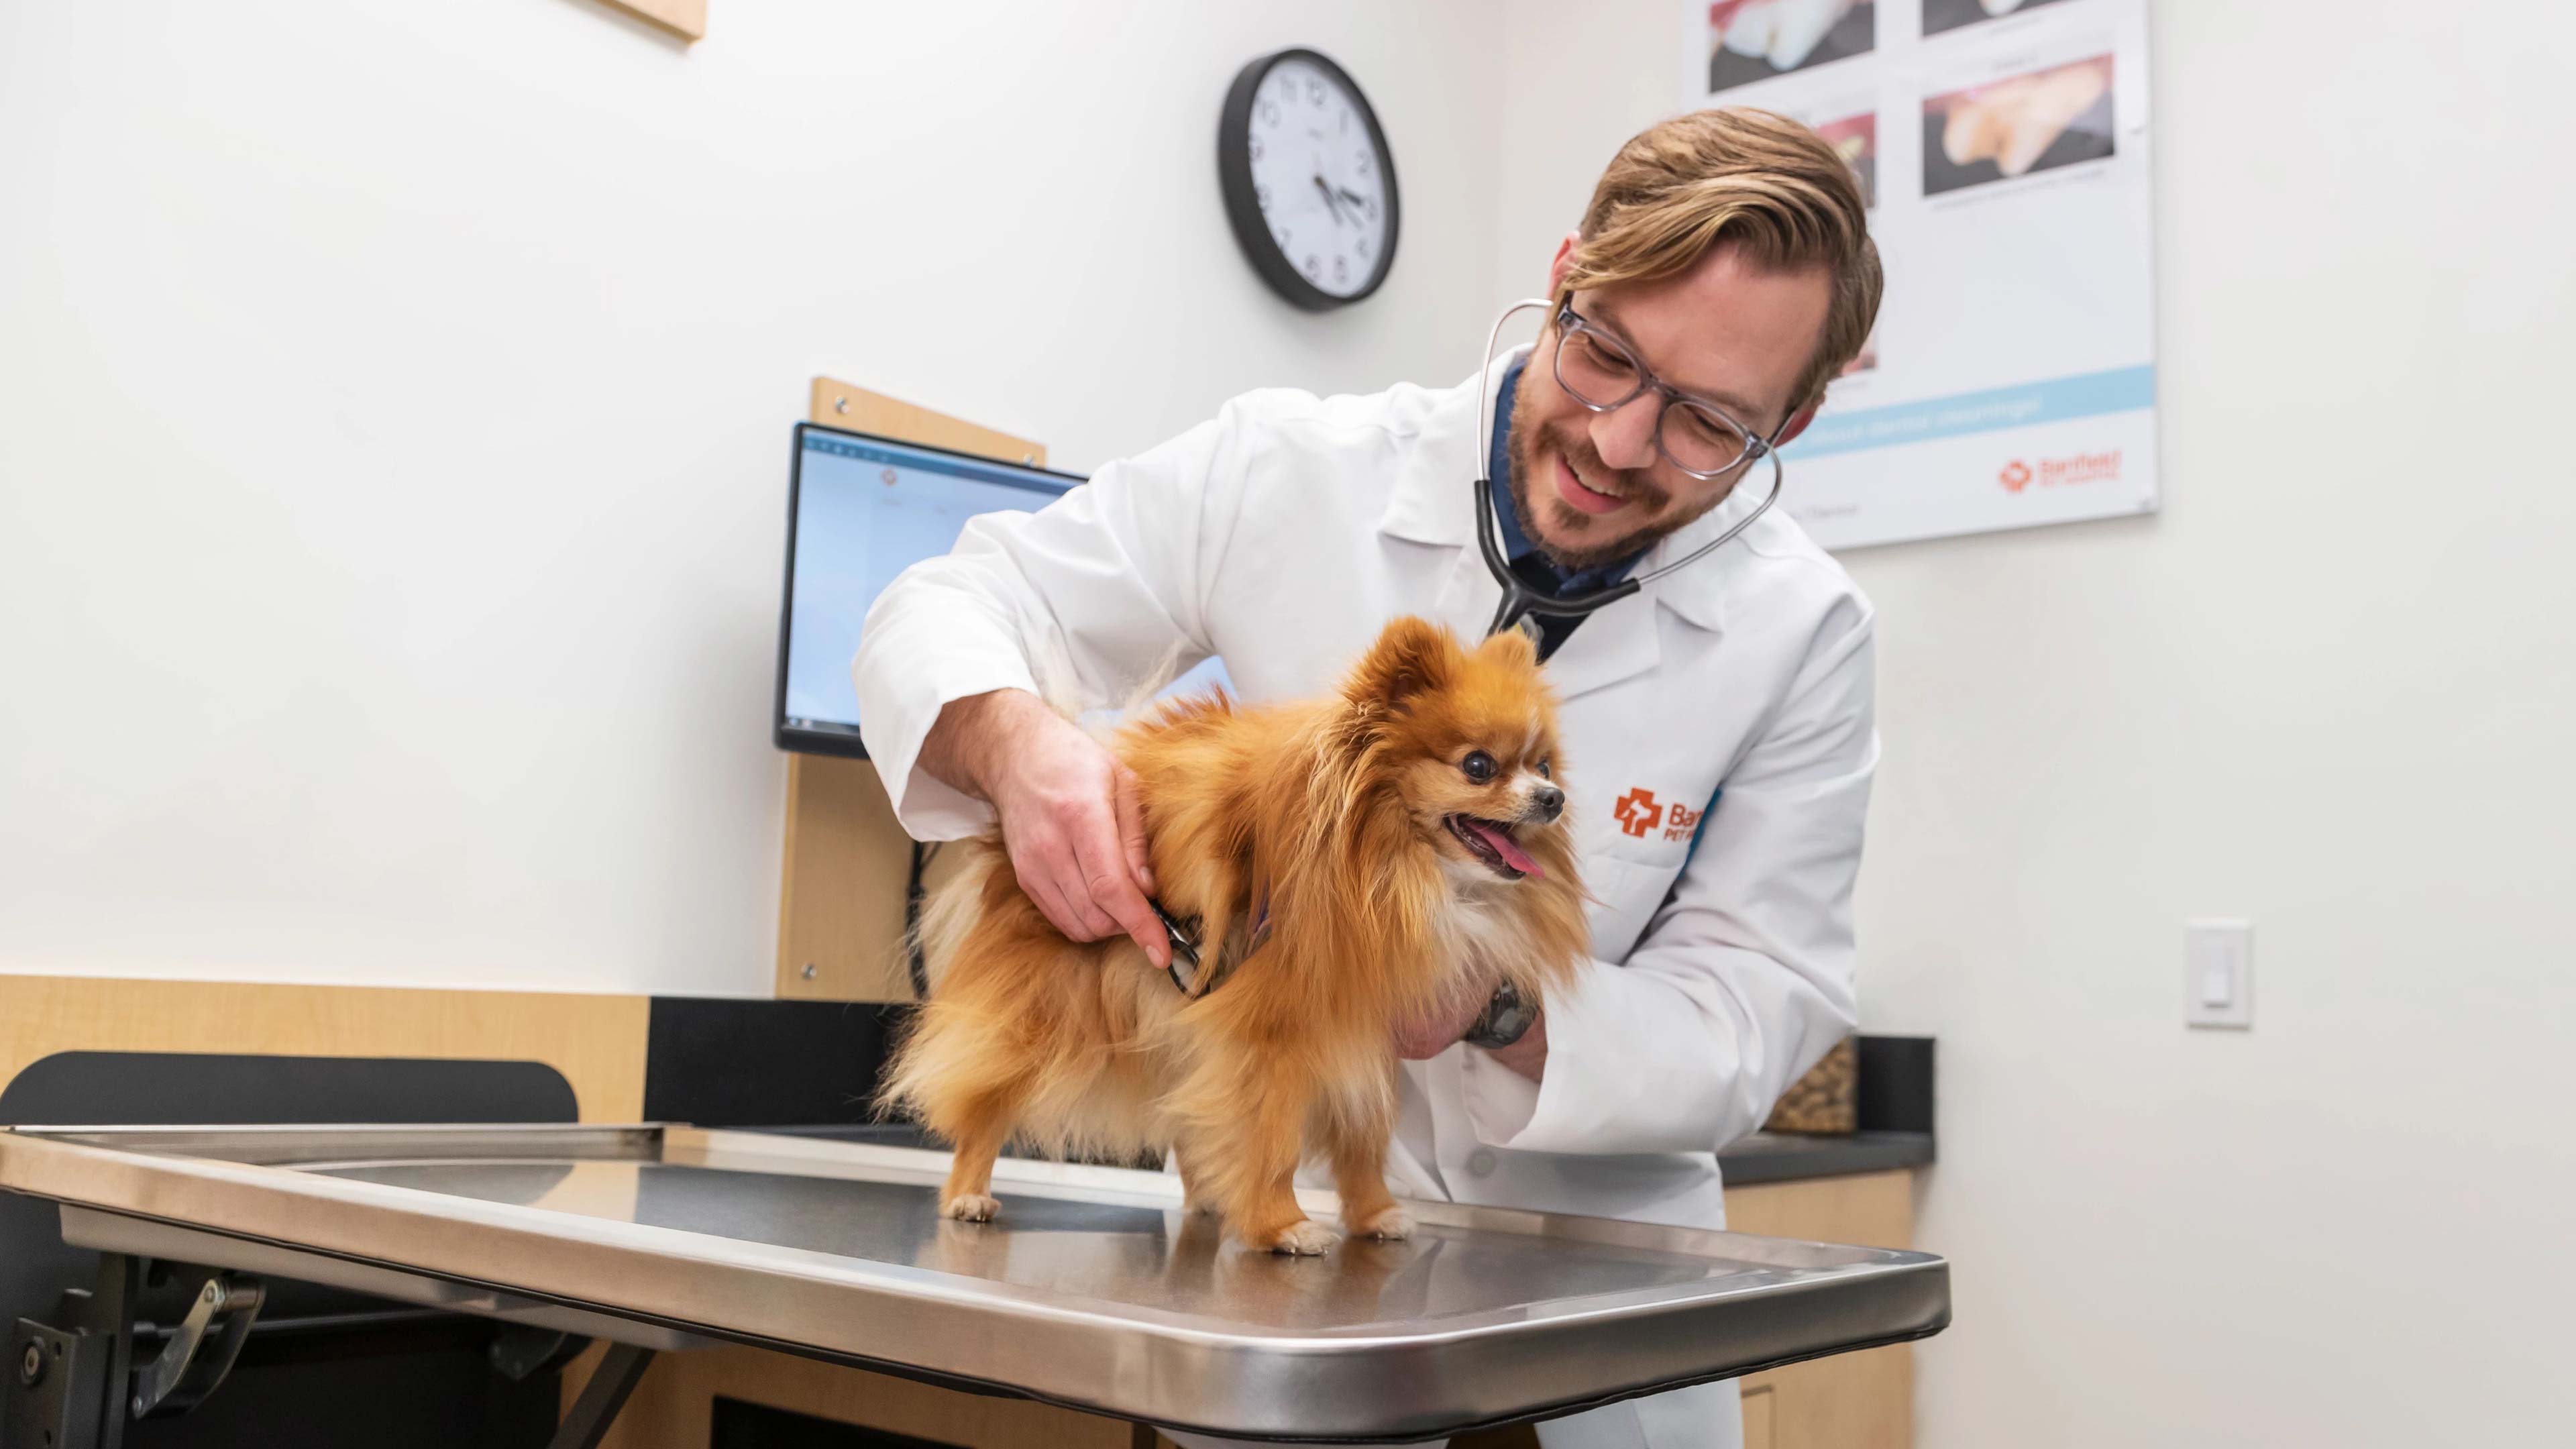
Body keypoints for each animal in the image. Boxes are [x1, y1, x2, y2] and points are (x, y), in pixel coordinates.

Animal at [881, 613, 1587, 1248]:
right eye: (1478, 766)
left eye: (1544, 765)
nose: (1552, 798)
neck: (1397, 866)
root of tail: (1005, 841)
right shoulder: (1271, 1035)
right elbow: (1272, 1139)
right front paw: (1282, 1225)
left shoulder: (1362, 1033)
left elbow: (1362, 1140)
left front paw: (1373, 1213)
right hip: (1048, 1013)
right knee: (986, 1106)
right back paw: (968, 1192)